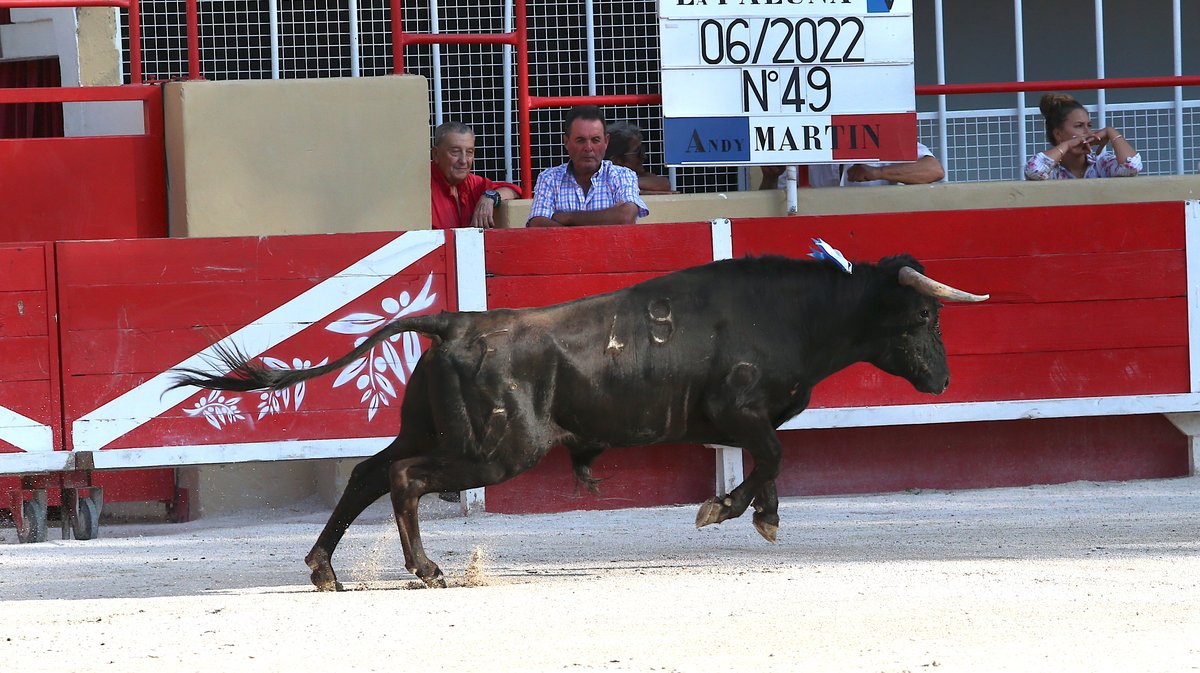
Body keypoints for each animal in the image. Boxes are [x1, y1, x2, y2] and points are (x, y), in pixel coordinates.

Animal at [174, 251, 988, 587]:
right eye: (923, 316)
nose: (945, 378)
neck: (794, 314)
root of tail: (455, 320)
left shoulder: (740, 422)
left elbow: (770, 458)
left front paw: (745, 511)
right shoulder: (738, 411)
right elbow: (775, 456)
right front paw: (740, 513)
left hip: (432, 427)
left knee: (369, 473)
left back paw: (324, 570)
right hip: (497, 449)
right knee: (403, 478)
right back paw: (427, 569)